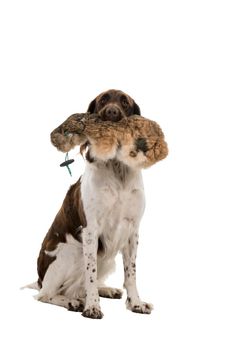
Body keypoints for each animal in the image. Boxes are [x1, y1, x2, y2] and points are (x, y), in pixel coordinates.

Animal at [28, 89, 154, 318]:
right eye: (103, 100)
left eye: (124, 102)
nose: (111, 112)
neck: (117, 169)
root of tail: (39, 279)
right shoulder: (91, 230)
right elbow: (91, 274)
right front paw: (92, 307)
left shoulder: (132, 230)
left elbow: (131, 273)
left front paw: (136, 303)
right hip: (71, 252)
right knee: (46, 294)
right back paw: (73, 302)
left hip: (107, 258)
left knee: (75, 288)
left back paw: (106, 290)